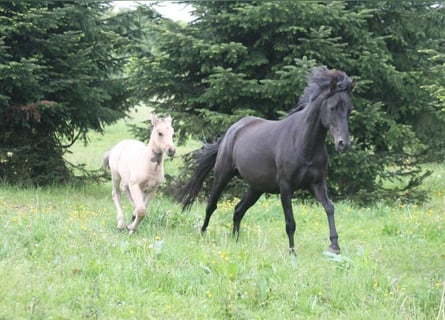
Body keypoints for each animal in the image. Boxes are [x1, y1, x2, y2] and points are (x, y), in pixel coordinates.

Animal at [177, 67, 354, 255]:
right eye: (332, 108)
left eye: (349, 110)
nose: (343, 144)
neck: (303, 143)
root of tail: (231, 131)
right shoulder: (286, 187)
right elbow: (290, 223)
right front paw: (292, 252)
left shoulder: (317, 183)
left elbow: (329, 208)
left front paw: (334, 246)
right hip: (222, 176)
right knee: (212, 205)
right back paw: (202, 234)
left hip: (256, 188)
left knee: (238, 210)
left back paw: (235, 240)